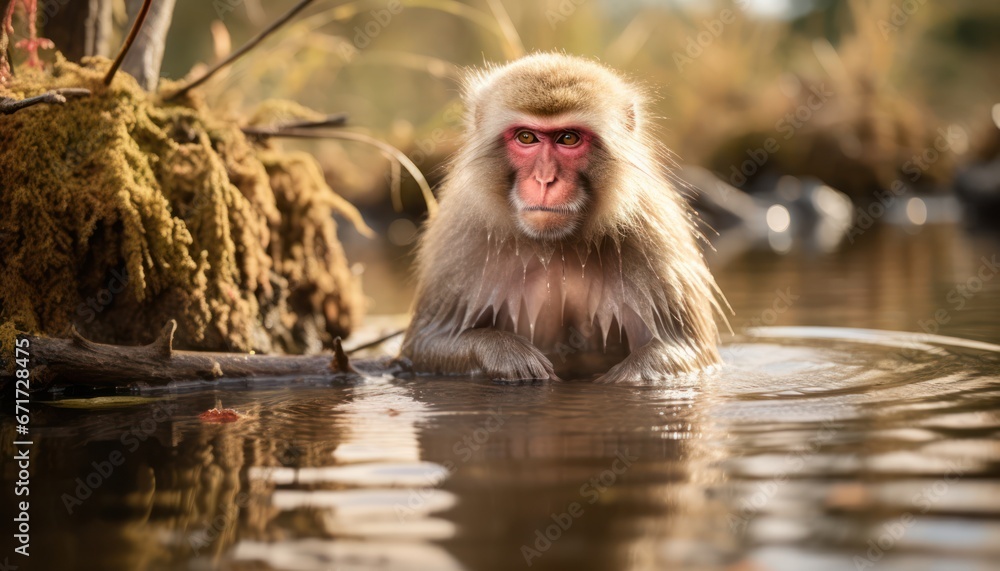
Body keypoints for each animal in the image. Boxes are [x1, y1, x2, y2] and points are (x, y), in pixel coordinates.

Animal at [400, 53, 727, 383]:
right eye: (526, 137)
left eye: (568, 138)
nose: (545, 179)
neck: (554, 245)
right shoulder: (462, 237)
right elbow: (425, 344)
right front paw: (506, 354)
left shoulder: (653, 234)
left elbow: (687, 349)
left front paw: (628, 377)